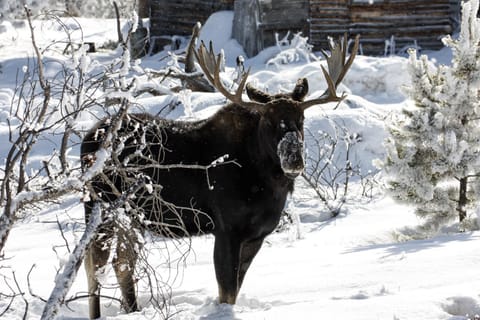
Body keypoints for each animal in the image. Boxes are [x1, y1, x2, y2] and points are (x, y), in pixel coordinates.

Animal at [80, 35, 358, 320]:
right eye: (269, 120)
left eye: (301, 119)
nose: (294, 160)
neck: (266, 184)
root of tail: (87, 139)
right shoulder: (226, 228)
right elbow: (227, 290)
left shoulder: (257, 235)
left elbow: (235, 287)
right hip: (99, 206)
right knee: (94, 265)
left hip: (131, 216)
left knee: (121, 263)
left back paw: (133, 309)